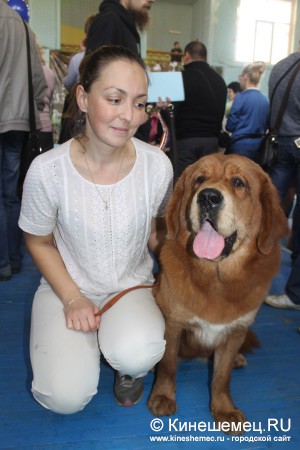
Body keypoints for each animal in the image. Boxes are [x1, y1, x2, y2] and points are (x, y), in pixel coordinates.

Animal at [149, 154, 290, 432]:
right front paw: (162, 396)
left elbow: (222, 377)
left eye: (238, 183)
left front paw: (224, 409)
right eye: (199, 179)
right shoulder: (173, 323)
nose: (208, 197)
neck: (216, 278)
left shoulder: (236, 330)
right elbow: (168, 365)